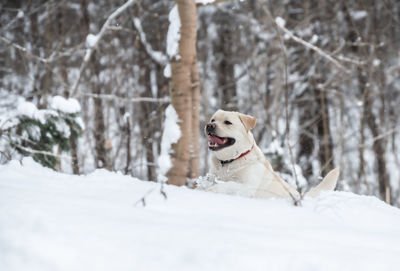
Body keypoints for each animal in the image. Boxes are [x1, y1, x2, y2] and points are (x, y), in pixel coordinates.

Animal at [205, 109, 340, 201]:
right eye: (213, 120)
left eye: (227, 122)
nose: (209, 125)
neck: (229, 161)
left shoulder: (247, 187)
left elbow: (230, 184)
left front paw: (213, 189)